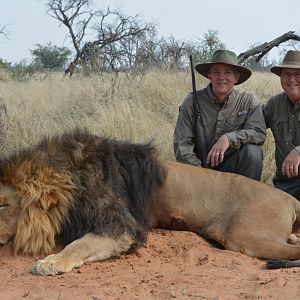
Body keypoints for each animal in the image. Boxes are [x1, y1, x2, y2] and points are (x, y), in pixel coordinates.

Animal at [0, 129, 298, 274]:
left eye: (3, 204)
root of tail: (289, 198)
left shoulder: (121, 227)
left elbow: (79, 244)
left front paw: (50, 262)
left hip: (246, 237)